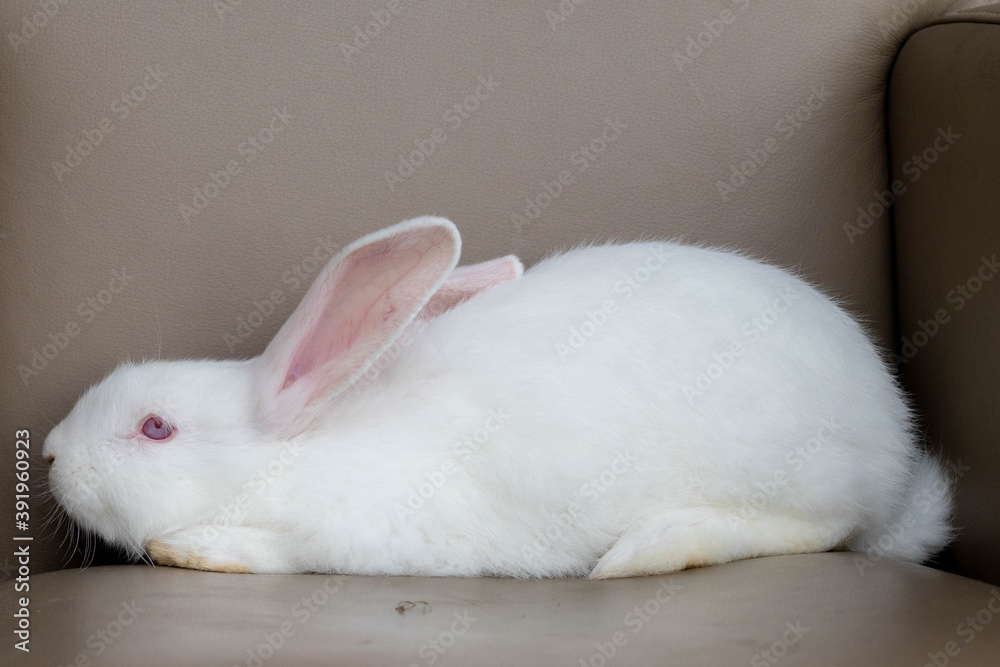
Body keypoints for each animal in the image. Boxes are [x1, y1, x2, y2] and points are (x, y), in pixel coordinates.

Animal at [43, 215, 953, 577]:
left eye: (155, 427)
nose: (47, 453)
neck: (304, 446)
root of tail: (894, 446)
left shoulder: (365, 531)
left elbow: (272, 550)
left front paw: (192, 547)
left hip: (794, 471)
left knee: (820, 530)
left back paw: (649, 548)